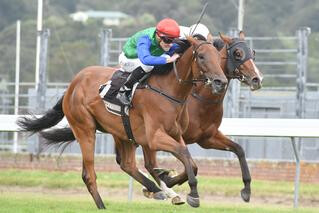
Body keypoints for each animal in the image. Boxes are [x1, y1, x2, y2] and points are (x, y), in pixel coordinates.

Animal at [17, 36, 229, 208]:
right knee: (89, 174)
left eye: (218, 57)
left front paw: (170, 183)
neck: (169, 91)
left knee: (127, 164)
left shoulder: (175, 134)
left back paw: (158, 190)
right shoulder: (154, 137)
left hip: (122, 132)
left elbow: (190, 162)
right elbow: (183, 154)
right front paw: (192, 194)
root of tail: (72, 85)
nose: (221, 81)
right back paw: (105, 205)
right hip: (85, 129)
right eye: (201, 56)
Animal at [136, 31, 264, 203]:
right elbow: (190, 164)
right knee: (149, 163)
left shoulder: (207, 138)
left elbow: (239, 149)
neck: (200, 100)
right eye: (237, 54)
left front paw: (246, 189)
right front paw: (171, 181)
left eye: (252, 53)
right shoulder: (172, 135)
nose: (257, 79)